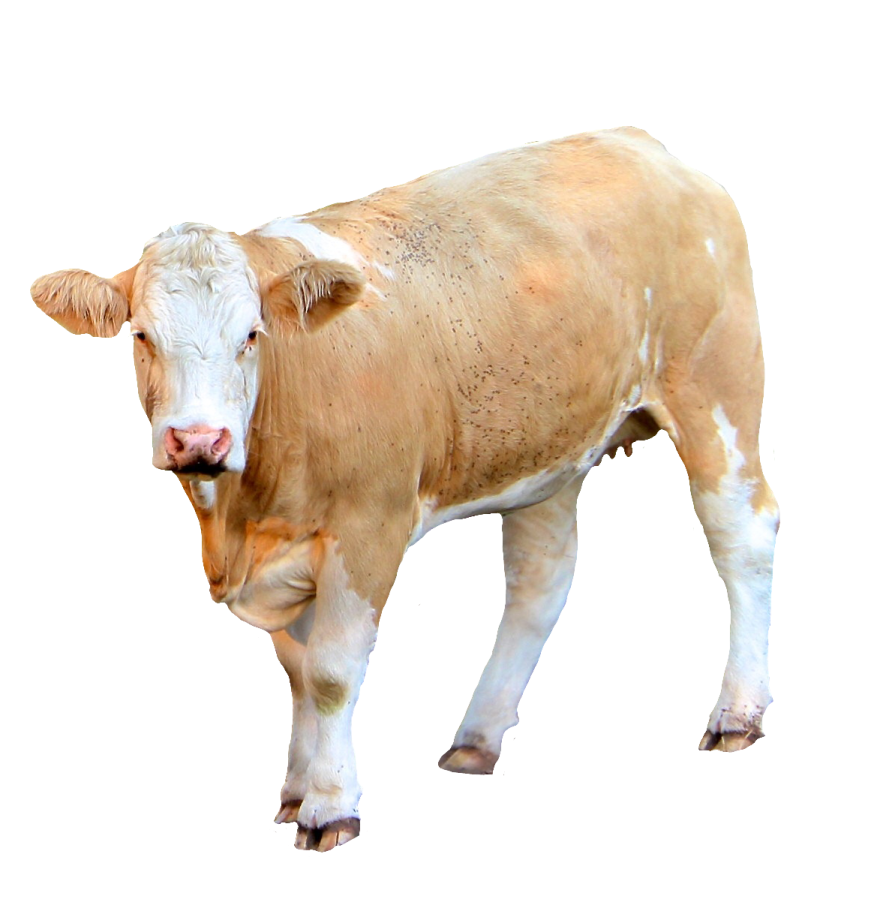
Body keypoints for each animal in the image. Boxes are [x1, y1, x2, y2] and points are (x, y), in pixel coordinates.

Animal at [31, 127, 780, 852]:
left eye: (251, 335)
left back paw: (737, 714)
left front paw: (330, 807)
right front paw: (296, 791)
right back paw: (477, 738)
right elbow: (297, 672)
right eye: (141, 337)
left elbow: (332, 671)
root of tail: (641, 145)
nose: (198, 441)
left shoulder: (369, 524)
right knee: (541, 580)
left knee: (742, 536)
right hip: (551, 448)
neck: (244, 523)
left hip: (716, 389)